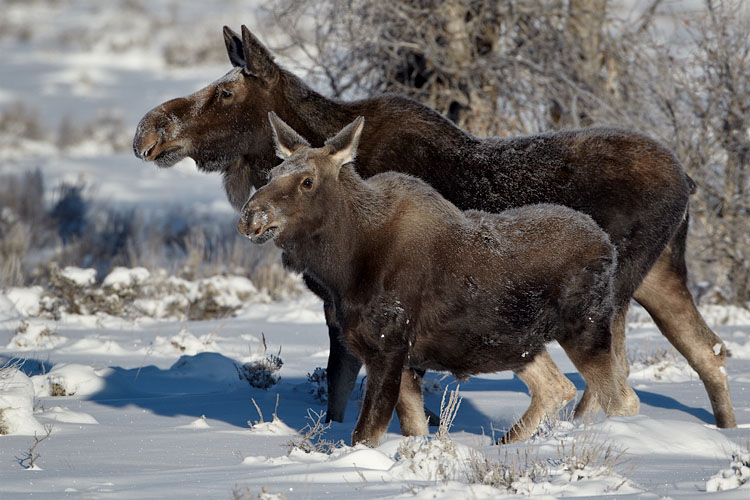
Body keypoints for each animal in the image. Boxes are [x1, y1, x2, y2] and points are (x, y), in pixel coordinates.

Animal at [237, 113, 639, 446]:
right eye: (270, 176)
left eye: (307, 181)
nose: (251, 215)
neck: (345, 268)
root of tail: (607, 246)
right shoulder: (402, 358)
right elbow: (413, 429)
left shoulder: (388, 346)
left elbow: (365, 433)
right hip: (518, 343)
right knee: (557, 387)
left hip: (585, 329)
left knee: (622, 400)